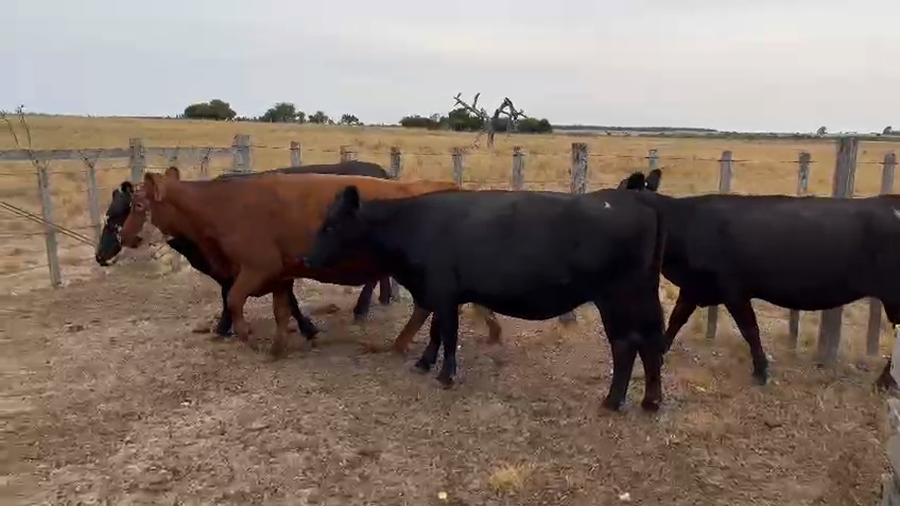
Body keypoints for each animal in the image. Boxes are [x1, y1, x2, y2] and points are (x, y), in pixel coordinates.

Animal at [94, 161, 395, 338]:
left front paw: (306, 328)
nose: (99, 256)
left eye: (116, 214)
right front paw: (225, 327)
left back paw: (362, 308)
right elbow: (230, 295)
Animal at [118, 168, 503, 357]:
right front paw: (279, 345)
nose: (125, 237)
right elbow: (281, 310)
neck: (222, 205)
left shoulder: (257, 268)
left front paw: (247, 335)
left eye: (137, 206)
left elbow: (235, 300)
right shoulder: (280, 274)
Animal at [303, 185, 668, 412]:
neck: (412, 223)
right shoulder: (442, 294)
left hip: (618, 297)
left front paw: (446, 375)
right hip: (641, 296)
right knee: (649, 342)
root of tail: (636, 200)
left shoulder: (443, 292)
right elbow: (436, 331)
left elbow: (448, 334)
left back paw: (613, 401)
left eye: (331, 225)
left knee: (626, 344)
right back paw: (650, 401)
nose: (306, 257)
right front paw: (424, 363)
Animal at [620, 168, 900, 391]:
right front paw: (659, 352)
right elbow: (677, 319)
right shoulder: (694, 286)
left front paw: (761, 371)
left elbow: (749, 330)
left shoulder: (734, 289)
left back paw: (884, 381)